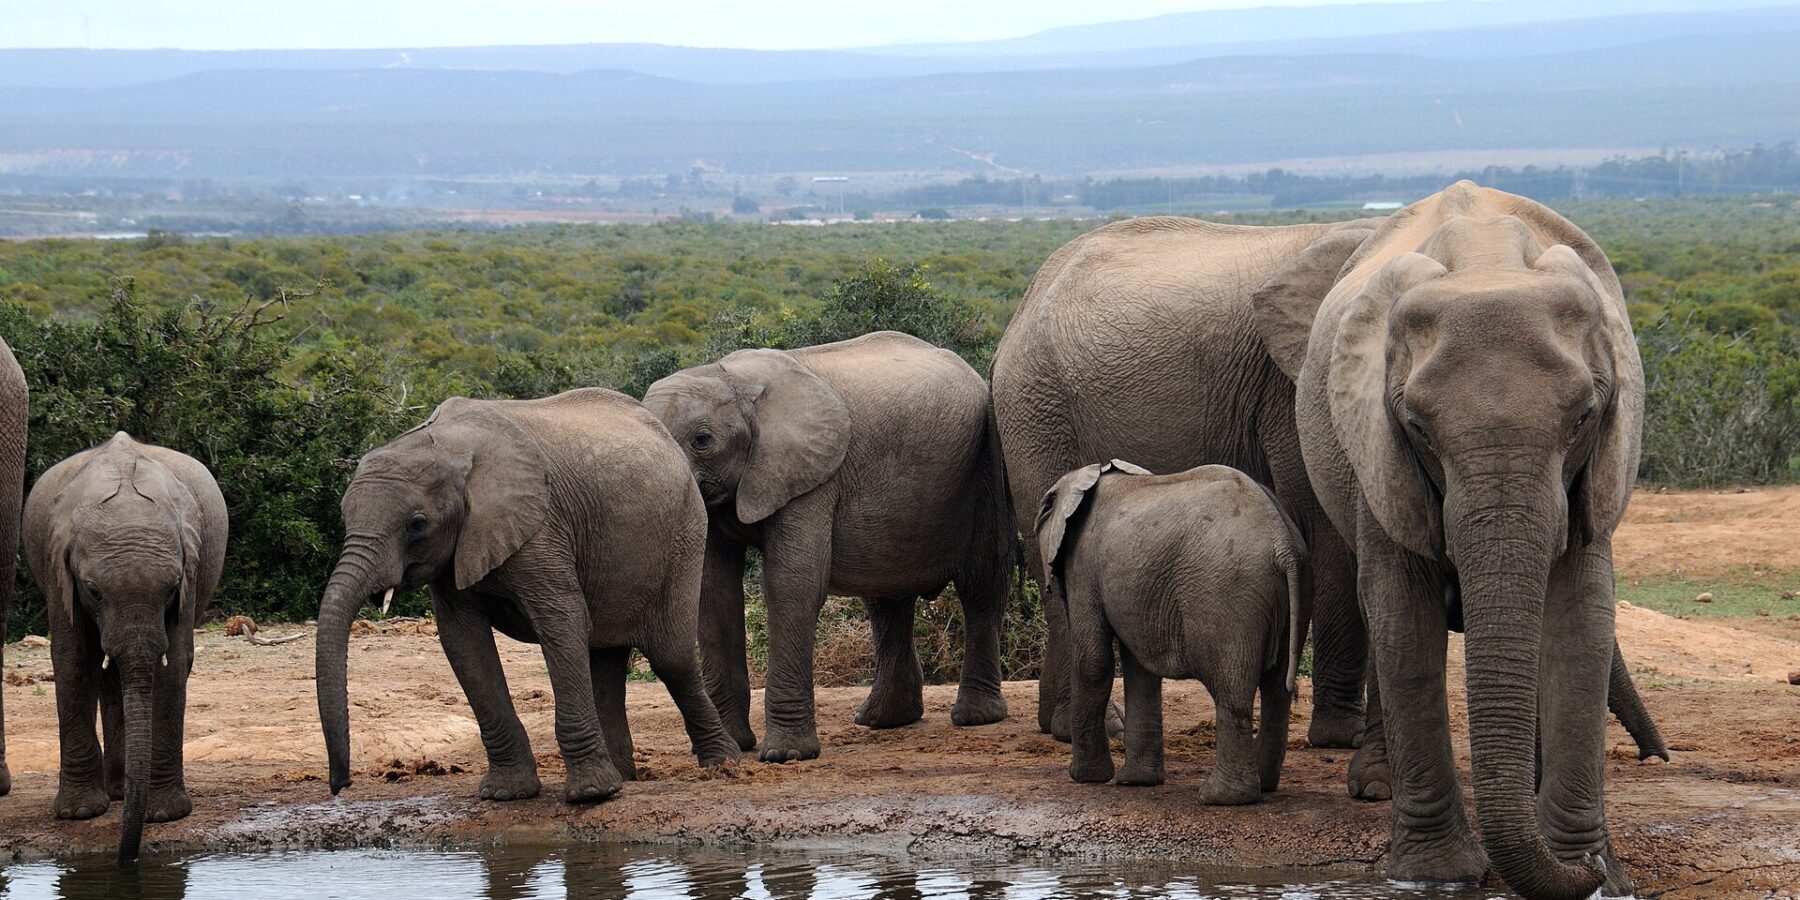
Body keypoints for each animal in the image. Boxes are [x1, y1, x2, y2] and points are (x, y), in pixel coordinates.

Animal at [23, 433, 226, 862]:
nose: (125, 860)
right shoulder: (58, 568)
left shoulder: (190, 568)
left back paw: (122, 790)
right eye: (94, 590)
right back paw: (117, 792)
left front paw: (163, 815)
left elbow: (173, 665)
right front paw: (79, 813)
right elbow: (74, 660)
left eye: (171, 588)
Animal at [315, 388, 740, 804]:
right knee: (605, 658)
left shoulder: (541, 528)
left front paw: (590, 795)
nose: (341, 784)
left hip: (685, 533)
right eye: (344, 516)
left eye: (417, 524)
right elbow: (463, 642)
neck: (447, 448)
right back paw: (624, 777)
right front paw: (507, 794)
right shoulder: (458, 552)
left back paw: (723, 764)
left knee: (671, 658)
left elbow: (562, 621)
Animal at [643, 331, 1012, 763]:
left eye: (702, 441)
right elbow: (714, 592)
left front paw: (786, 755)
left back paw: (975, 717)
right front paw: (736, 745)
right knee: (886, 596)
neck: (732, 380)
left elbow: (793, 583)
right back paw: (883, 720)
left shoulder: (812, 475)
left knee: (981, 583)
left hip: (985, 462)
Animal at [1037, 460, 1303, 805]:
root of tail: (1282, 544)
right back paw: (1264, 784)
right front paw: (1136, 782)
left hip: (1226, 594)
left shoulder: (1082, 566)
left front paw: (1086, 778)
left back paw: (1218, 797)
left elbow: (1093, 662)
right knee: (1277, 690)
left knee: (1230, 687)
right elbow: (1140, 670)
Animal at [1251, 181, 1643, 897]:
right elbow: (1405, 619)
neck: (1489, 261)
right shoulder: (1378, 448)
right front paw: (1437, 875)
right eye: (1417, 427)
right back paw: (1377, 784)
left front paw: (1596, 873)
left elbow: (1581, 622)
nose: (1590, 867)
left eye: (1584, 418)